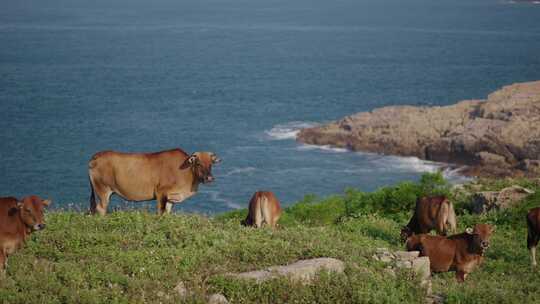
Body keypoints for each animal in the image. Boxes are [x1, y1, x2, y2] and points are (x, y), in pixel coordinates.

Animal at [89, 148, 220, 215]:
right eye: (198, 163)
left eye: (210, 164)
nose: (209, 178)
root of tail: (96, 156)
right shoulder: (161, 192)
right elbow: (160, 212)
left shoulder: (171, 198)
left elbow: (167, 212)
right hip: (103, 190)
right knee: (101, 208)